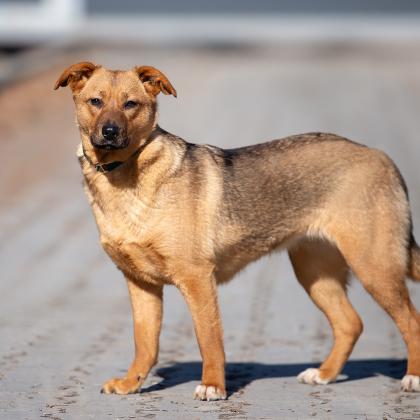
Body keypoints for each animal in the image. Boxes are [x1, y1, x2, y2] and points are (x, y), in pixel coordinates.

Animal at [55, 62, 420, 400]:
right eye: (95, 101)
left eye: (131, 104)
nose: (110, 131)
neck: (123, 175)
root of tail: (381, 157)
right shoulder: (140, 283)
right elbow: (145, 342)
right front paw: (131, 384)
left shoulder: (197, 279)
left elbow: (209, 340)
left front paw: (213, 386)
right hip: (315, 272)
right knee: (349, 324)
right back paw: (325, 374)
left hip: (375, 267)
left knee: (411, 322)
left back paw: (412, 378)